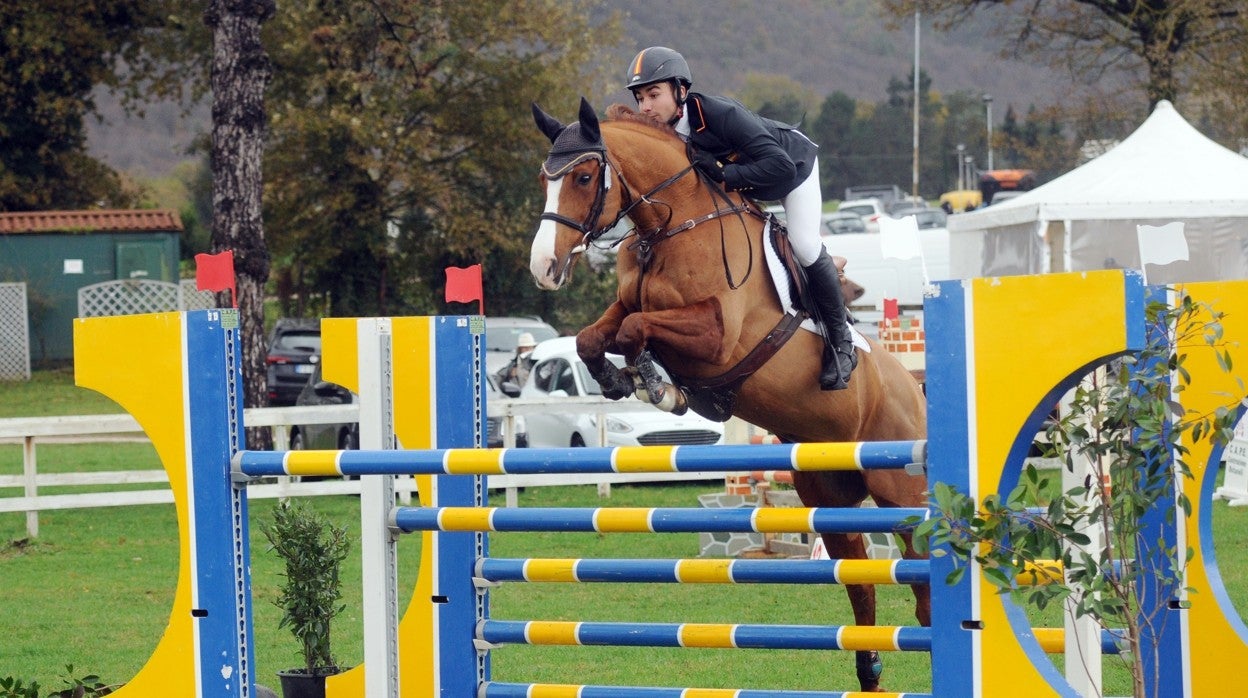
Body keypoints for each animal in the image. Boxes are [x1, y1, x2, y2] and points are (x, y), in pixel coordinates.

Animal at [526, 99, 928, 694]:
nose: (544, 269)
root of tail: (913, 390)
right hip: (828, 497)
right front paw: (625, 381)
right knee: (861, 583)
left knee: (924, 583)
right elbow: (594, 337)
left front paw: (657, 386)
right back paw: (869, 670)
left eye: (581, 177)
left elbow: (636, 331)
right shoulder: (629, 305)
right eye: (543, 180)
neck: (670, 228)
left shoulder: (716, 337)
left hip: (902, 494)